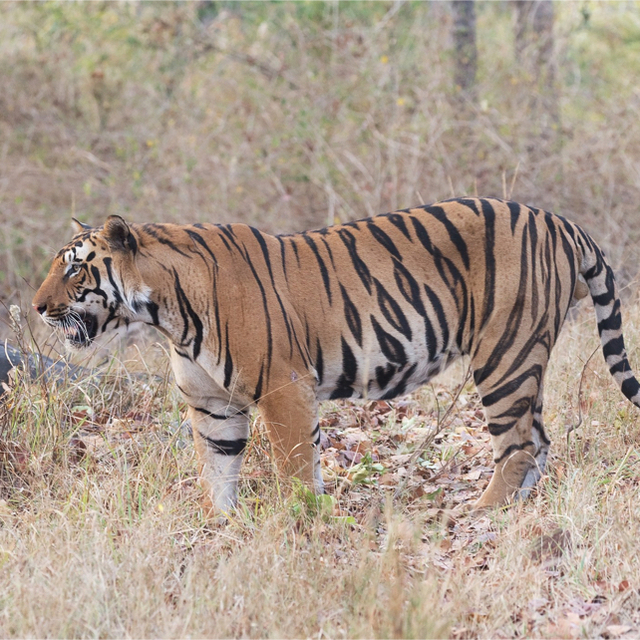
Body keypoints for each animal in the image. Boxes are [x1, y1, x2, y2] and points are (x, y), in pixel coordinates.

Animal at [31, 198, 640, 512]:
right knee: (540, 441)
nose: (37, 308)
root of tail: (559, 220)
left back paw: (485, 512)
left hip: (505, 354)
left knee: (519, 445)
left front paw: (302, 523)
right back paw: (517, 510)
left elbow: (297, 465)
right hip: (522, 357)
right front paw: (220, 525)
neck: (167, 314)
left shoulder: (282, 388)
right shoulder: (213, 404)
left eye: (75, 269)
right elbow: (218, 468)